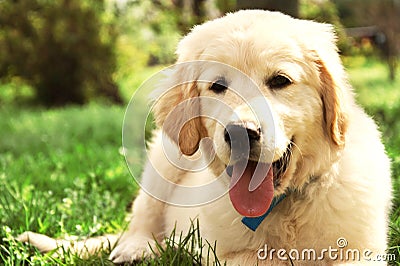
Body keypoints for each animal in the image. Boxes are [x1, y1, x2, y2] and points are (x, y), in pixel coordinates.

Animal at [18, 9, 390, 264]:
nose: (241, 133)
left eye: (280, 81)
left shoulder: (364, 251)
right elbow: (261, 259)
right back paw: (136, 249)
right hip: (163, 159)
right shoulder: (219, 253)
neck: (283, 207)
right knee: (143, 219)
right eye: (217, 86)